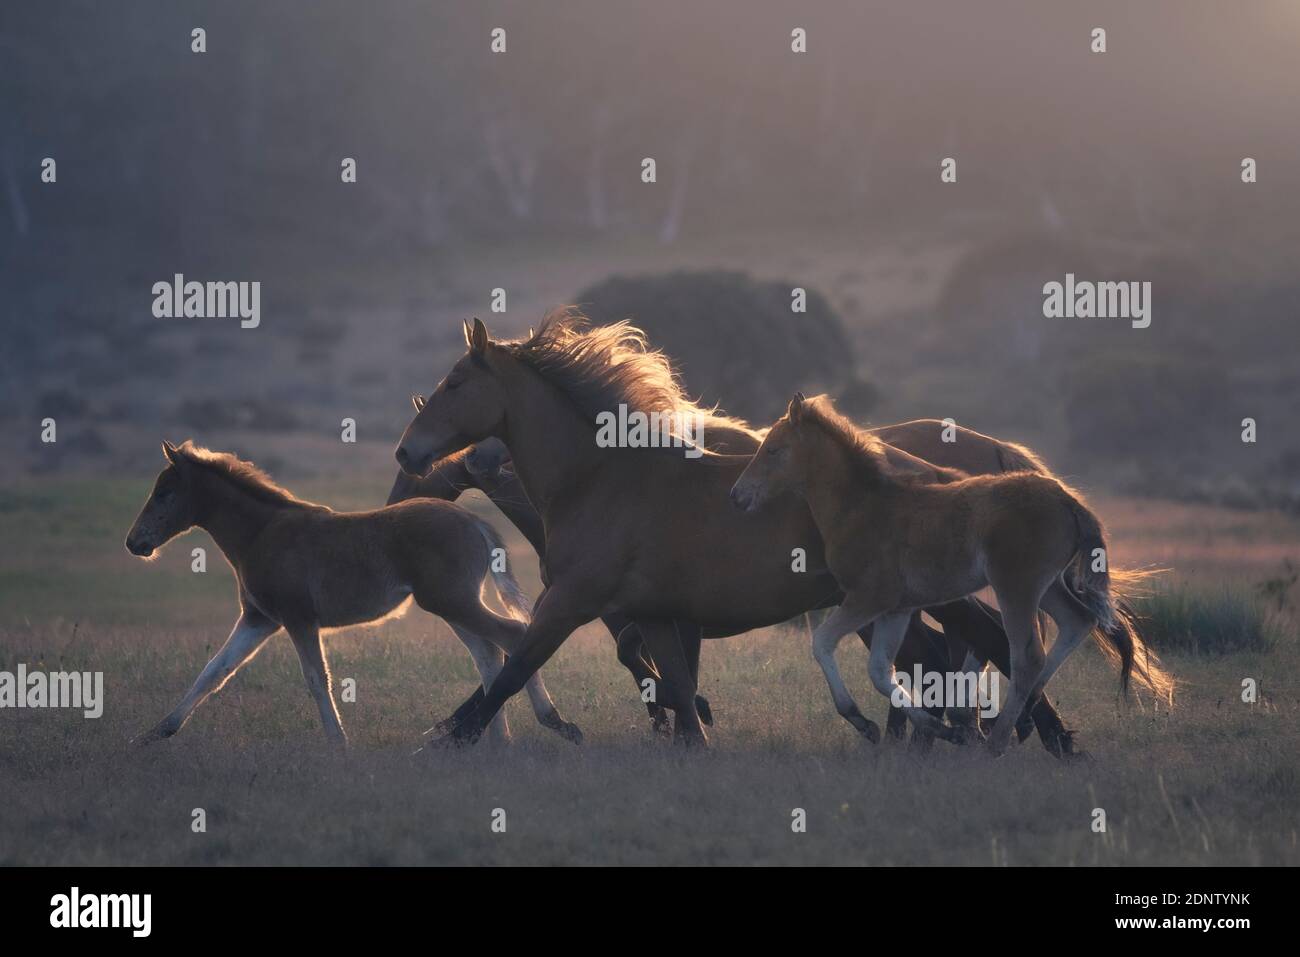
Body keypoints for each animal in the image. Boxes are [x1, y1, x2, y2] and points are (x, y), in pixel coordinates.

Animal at [124, 440, 581, 746]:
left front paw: (339, 745)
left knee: (512, 637)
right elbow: (214, 672)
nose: (135, 542)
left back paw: (550, 722)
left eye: (164, 492)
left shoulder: (297, 617)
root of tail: (476, 522)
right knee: (488, 652)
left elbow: (316, 679)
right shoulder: (259, 619)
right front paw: (155, 733)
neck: (262, 532)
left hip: (451, 601)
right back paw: (492, 739)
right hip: (452, 604)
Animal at [394, 312, 1091, 752]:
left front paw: (450, 738)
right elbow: (673, 685)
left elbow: (514, 668)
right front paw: (692, 739)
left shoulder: (571, 601)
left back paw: (1027, 739)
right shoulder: (653, 613)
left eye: (454, 382)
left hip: (924, 594)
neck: (598, 478)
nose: (407, 453)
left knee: (994, 646)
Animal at [731, 394, 1175, 754]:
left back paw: (995, 741)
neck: (864, 505)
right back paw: (1013, 716)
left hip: (1016, 586)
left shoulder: (868, 598)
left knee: (1027, 654)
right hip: (1048, 586)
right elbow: (880, 670)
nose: (737, 495)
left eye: (774, 450)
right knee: (1075, 623)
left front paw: (864, 722)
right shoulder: (896, 608)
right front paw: (939, 729)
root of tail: (1070, 502)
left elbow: (823, 644)